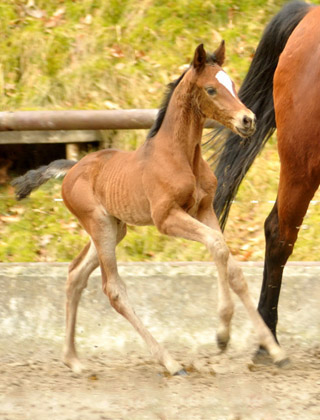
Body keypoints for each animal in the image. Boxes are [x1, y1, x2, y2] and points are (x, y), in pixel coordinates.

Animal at [13, 42, 288, 372]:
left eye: (233, 85)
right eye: (211, 89)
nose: (247, 120)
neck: (180, 155)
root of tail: (72, 168)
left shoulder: (204, 209)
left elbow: (230, 264)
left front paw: (273, 349)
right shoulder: (166, 218)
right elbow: (216, 245)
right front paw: (222, 334)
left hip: (113, 228)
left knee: (75, 274)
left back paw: (73, 359)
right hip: (100, 225)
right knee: (113, 289)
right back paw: (169, 362)